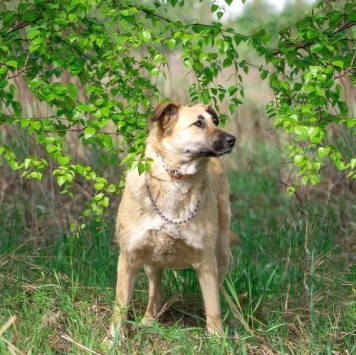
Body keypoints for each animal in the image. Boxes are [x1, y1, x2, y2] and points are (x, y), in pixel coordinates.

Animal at [110, 101, 235, 340]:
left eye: (214, 121)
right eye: (198, 123)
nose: (232, 139)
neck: (174, 177)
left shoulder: (206, 261)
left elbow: (212, 307)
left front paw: (219, 340)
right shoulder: (129, 257)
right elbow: (120, 306)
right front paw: (113, 340)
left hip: (221, 251)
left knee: (219, 290)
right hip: (151, 258)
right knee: (155, 295)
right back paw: (148, 320)